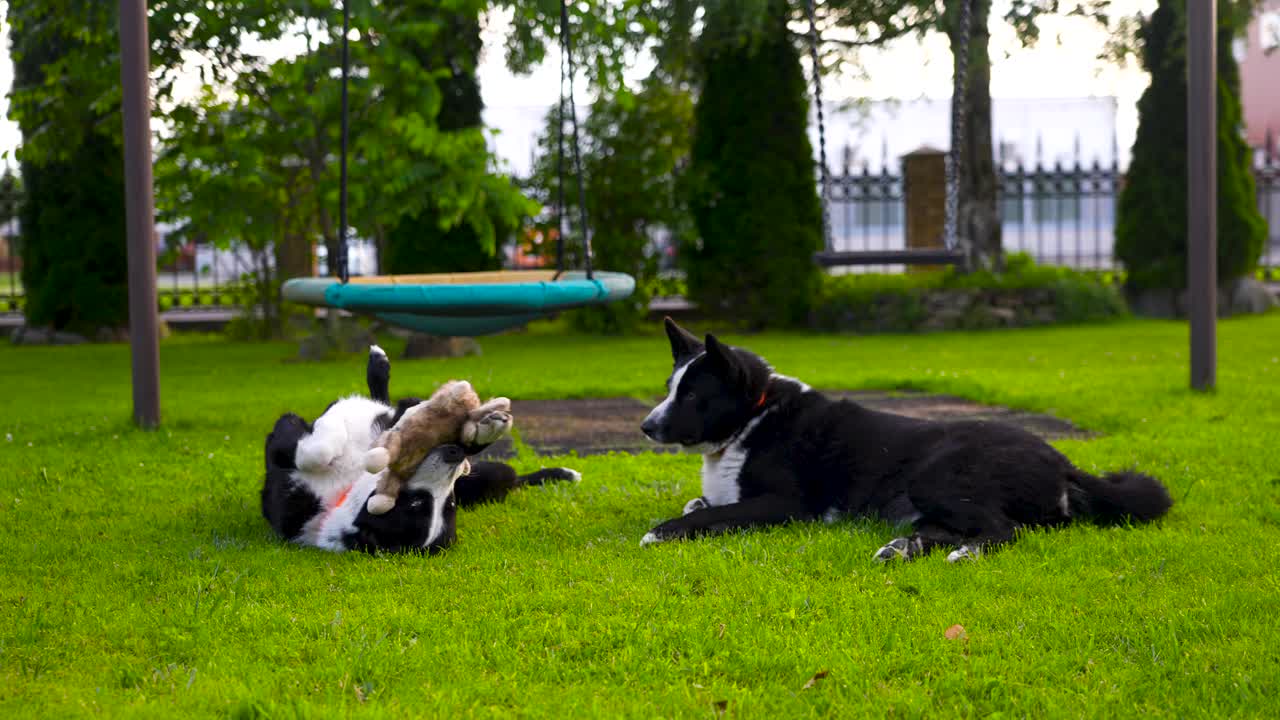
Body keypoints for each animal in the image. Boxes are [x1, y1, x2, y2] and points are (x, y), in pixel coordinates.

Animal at [262, 345, 578, 550]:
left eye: (447, 505)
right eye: (416, 504)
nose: (454, 455)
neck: (342, 492)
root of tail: (513, 482)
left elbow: (314, 449)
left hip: (494, 476)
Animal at [637, 317, 1172, 561]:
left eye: (691, 395)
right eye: (669, 387)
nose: (645, 427)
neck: (754, 416)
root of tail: (1061, 460)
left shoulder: (787, 505)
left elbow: (712, 514)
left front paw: (661, 531)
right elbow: (701, 504)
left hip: (935, 476)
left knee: (1005, 531)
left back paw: (960, 553)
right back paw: (903, 547)